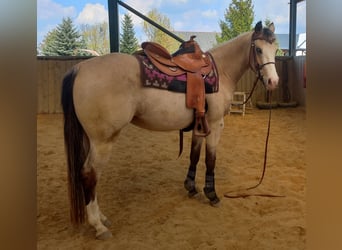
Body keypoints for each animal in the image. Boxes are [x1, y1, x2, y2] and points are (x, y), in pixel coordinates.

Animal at [61, 21, 280, 238]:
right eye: (258, 49)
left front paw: (191, 188)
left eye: (276, 49)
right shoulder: (216, 124)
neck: (222, 71)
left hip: (90, 139)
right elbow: (210, 159)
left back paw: (102, 218)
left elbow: (194, 155)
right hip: (103, 141)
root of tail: (80, 68)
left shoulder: (200, 125)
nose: (273, 82)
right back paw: (98, 226)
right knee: (89, 174)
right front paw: (212, 194)